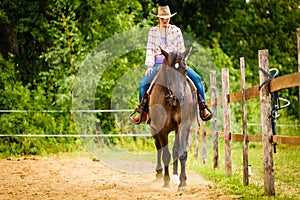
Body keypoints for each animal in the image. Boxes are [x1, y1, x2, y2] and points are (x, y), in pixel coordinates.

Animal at [149, 46, 198, 191]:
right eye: (168, 71)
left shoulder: (184, 125)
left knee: (175, 149)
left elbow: (181, 153)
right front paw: (166, 181)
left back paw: (176, 177)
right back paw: (159, 174)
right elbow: (165, 155)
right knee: (158, 147)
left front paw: (182, 182)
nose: (178, 96)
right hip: (153, 129)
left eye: (185, 70)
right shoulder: (162, 130)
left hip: (176, 129)